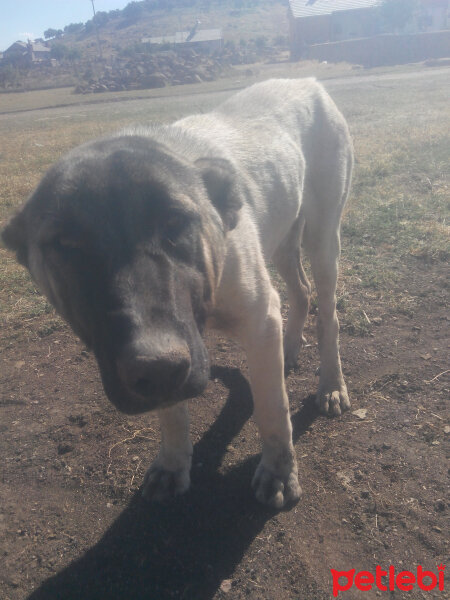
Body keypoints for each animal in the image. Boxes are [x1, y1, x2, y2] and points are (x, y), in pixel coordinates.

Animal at [2, 78, 356, 506]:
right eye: (66, 244)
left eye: (175, 221)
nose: (156, 364)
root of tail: (306, 80)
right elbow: (171, 411)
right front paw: (173, 464)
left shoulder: (258, 318)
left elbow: (273, 410)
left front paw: (278, 472)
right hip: (284, 241)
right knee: (301, 291)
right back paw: (289, 350)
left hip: (323, 240)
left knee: (328, 316)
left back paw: (331, 385)